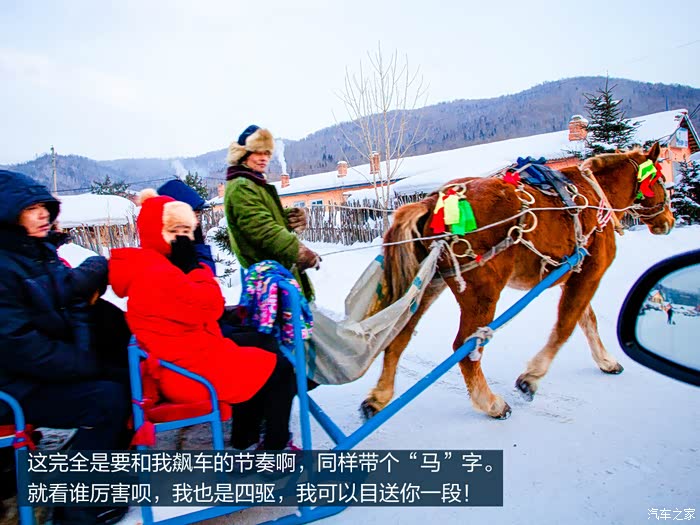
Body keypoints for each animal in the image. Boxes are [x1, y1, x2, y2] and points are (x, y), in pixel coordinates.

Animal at [361, 143, 675, 420]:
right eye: (660, 179)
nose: (669, 221)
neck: (596, 194)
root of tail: (434, 200)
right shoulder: (590, 272)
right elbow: (566, 325)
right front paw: (531, 378)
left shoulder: (571, 275)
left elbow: (587, 320)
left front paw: (606, 361)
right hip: (483, 293)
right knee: (465, 347)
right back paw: (490, 403)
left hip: (429, 284)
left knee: (400, 335)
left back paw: (379, 397)